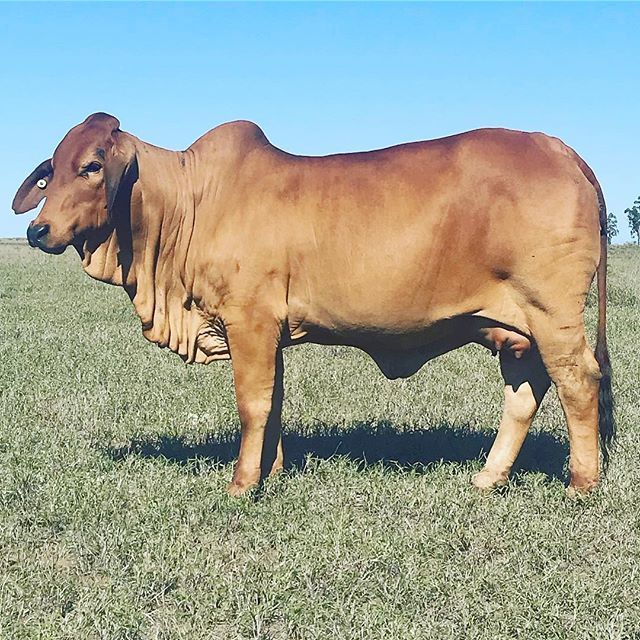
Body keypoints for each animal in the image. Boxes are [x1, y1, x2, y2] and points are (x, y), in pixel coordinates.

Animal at [12, 113, 614, 496]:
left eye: (92, 166)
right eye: (52, 170)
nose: (38, 230)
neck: (190, 202)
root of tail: (558, 147)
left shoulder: (249, 321)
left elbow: (252, 404)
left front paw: (241, 485)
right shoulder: (268, 332)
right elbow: (274, 402)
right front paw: (271, 473)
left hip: (552, 313)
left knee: (578, 382)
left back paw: (582, 484)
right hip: (514, 328)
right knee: (526, 391)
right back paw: (489, 478)